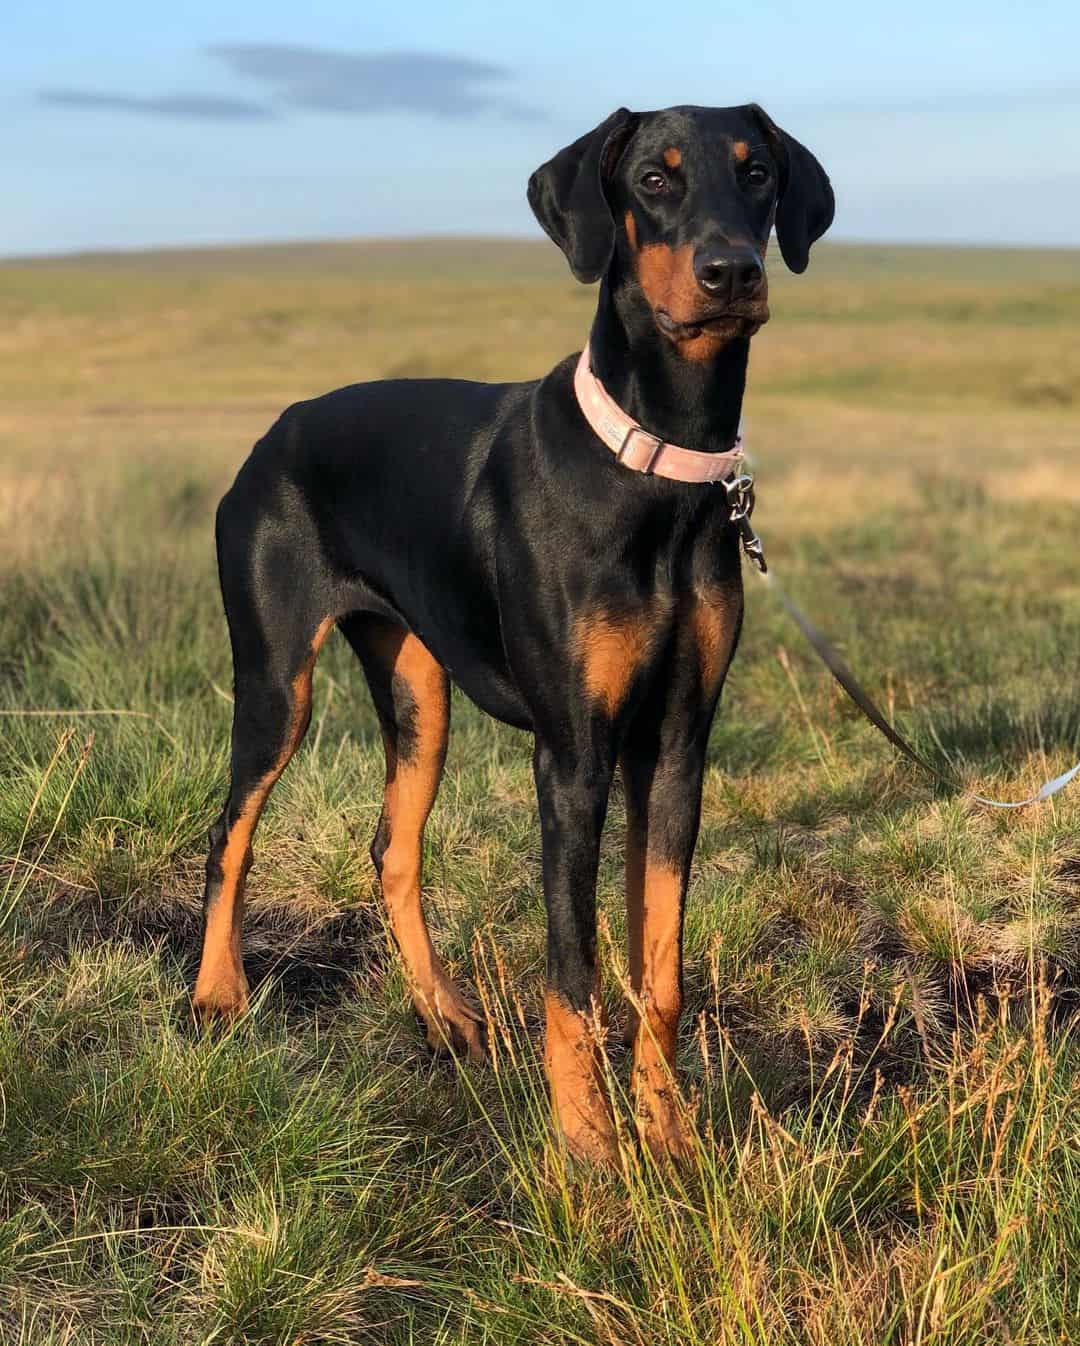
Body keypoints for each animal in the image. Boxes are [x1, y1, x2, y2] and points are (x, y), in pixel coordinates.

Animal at [193, 99, 834, 1162]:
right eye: (653, 179)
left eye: (758, 174)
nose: (733, 271)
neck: (657, 469)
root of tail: (276, 430)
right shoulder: (572, 756)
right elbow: (572, 975)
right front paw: (587, 1148)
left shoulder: (674, 745)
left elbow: (659, 970)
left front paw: (668, 1135)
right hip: (276, 680)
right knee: (229, 832)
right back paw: (215, 997)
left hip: (418, 692)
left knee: (392, 850)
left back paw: (445, 1015)